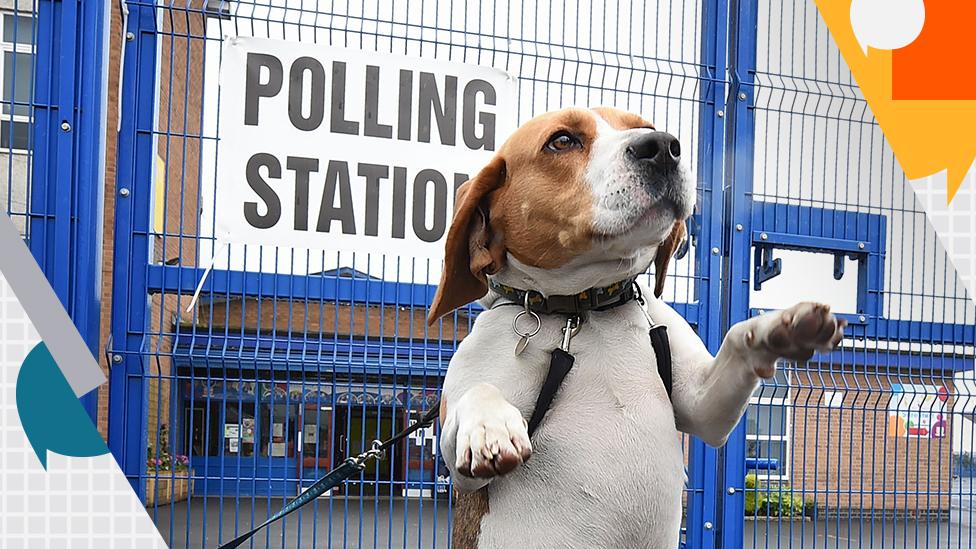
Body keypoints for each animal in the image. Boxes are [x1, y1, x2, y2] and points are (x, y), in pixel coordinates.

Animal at [428, 108, 848, 548]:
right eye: (561, 141)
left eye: (644, 127)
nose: (663, 146)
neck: (585, 310)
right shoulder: (459, 463)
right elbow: (479, 392)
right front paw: (489, 428)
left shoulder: (704, 409)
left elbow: (736, 340)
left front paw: (781, 326)